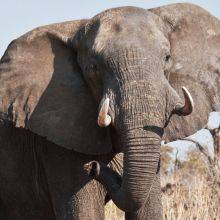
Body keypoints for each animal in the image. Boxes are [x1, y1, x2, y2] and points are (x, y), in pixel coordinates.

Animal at [0, 2, 220, 220]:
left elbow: (148, 210)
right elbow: (85, 213)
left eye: (167, 58)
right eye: (93, 67)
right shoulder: (59, 140)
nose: (92, 166)